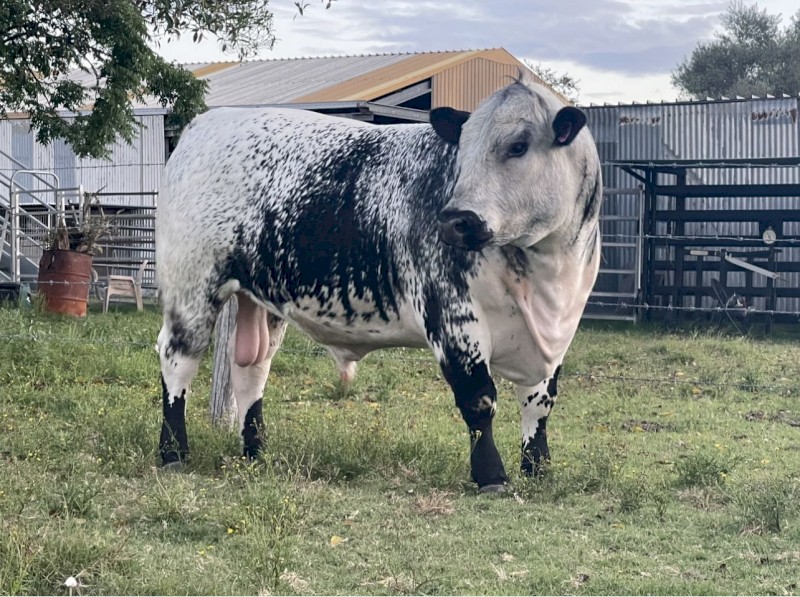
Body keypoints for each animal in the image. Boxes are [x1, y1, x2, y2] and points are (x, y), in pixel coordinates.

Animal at [155, 76, 602, 492]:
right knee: (178, 359)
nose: (454, 221)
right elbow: (478, 398)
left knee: (251, 369)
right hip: (192, 287)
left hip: (262, 299)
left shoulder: (555, 338)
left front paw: (537, 468)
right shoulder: (452, 317)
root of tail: (204, 124)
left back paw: (255, 451)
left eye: (519, 145)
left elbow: (538, 405)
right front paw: (491, 475)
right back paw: (173, 453)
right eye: (462, 151)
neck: (545, 274)